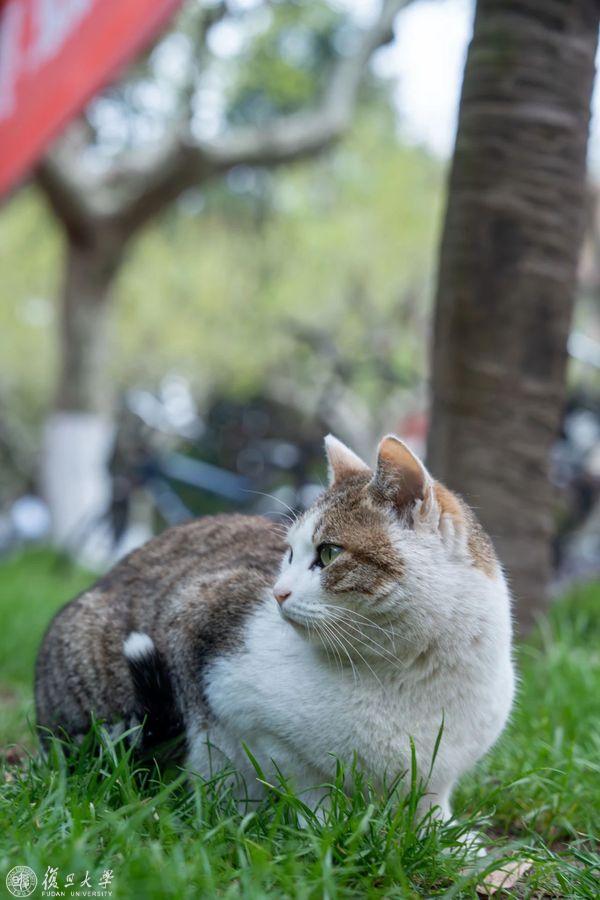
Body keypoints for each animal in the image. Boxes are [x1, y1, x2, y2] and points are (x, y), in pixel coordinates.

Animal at [35, 434, 515, 820]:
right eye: (287, 554)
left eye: (330, 553)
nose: (277, 593)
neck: (409, 671)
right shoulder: (202, 625)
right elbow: (301, 780)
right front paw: (326, 829)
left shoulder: (438, 772)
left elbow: (430, 800)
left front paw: (443, 836)